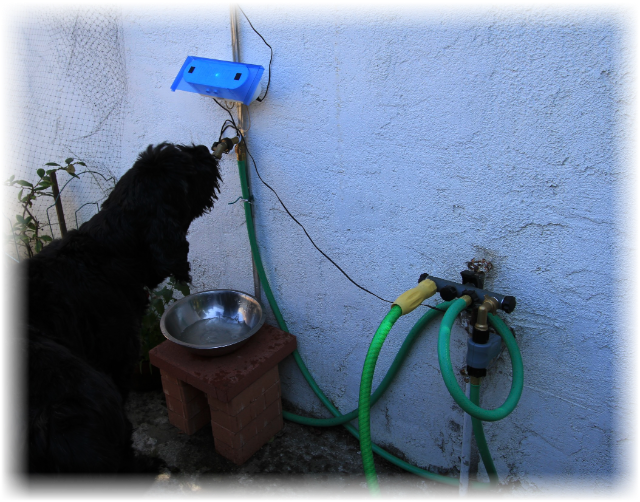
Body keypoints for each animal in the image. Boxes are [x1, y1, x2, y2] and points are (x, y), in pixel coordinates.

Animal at [3, 142, 222, 494]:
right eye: (187, 167)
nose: (204, 149)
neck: (108, 252)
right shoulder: (117, 361)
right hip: (94, 390)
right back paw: (143, 472)